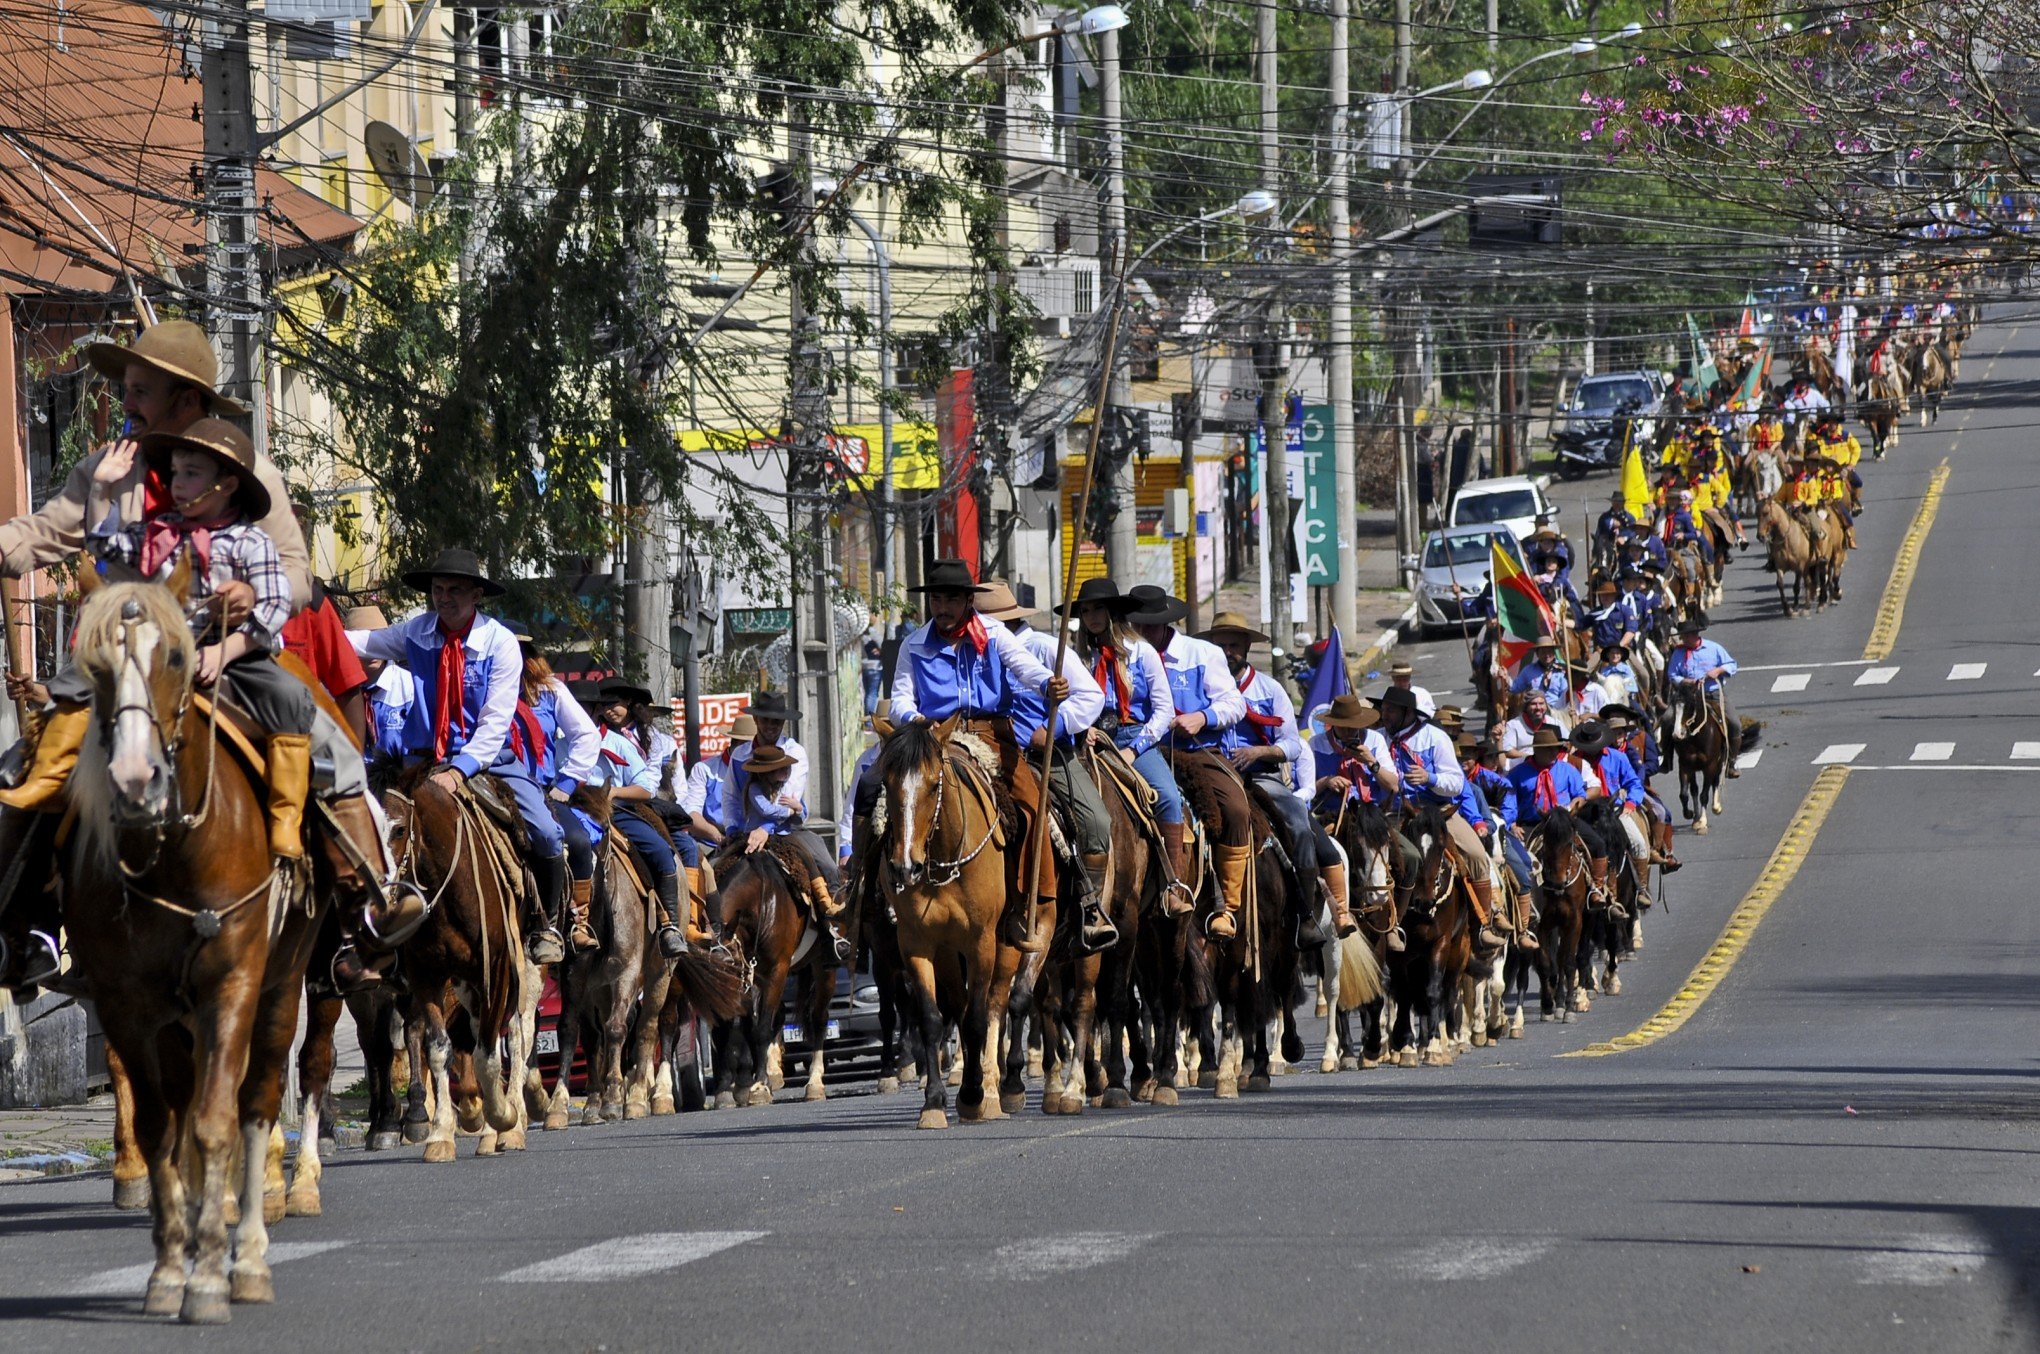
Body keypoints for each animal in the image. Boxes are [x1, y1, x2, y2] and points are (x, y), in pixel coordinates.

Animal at [56, 570, 322, 1321]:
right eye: (92, 663)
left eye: (175, 657)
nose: (135, 781)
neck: (173, 851)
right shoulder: (124, 1003)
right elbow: (159, 1127)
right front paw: (171, 1268)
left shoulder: (231, 986)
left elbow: (214, 1122)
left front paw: (209, 1277)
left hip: (283, 988)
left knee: (258, 1099)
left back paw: (252, 1251)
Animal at [881, 717, 1036, 1133]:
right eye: (886, 782)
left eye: (934, 784)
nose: (905, 867)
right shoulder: (916, 943)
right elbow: (933, 1019)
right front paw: (934, 1102)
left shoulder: (980, 941)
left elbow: (978, 1020)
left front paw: (971, 1095)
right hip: (948, 954)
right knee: (959, 1006)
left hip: (1007, 943)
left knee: (1000, 1003)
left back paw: (999, 1088)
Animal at [1664, 677, 1729, 836]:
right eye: (1673, 705)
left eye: (1689, 706)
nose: (1677, 734)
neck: (1697, 738)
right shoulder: (1685, 766)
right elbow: (1684, 794)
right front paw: (1690, 814)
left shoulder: (1710, 766)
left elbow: (1704, 794)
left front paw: (1703, 822)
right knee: (1694, 789)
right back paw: (1695, 818)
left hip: (1719, 762)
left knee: (1715, 782)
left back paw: (1716, 807)